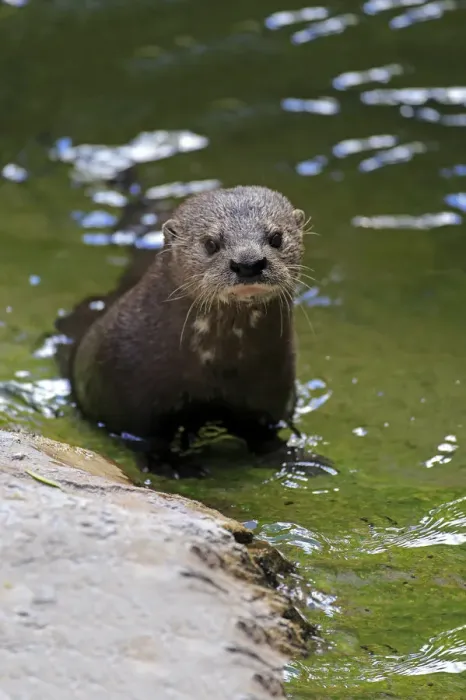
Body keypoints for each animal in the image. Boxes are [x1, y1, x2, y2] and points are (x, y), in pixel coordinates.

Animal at [71, 185, 307, 477]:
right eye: (210, 243)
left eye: (276, 237)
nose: (248, 262)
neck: (216, 365)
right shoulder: (132, 402)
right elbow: (149, 438)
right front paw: (171, 463)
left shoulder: (271, 390)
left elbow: (262, 432)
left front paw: (292, 458)